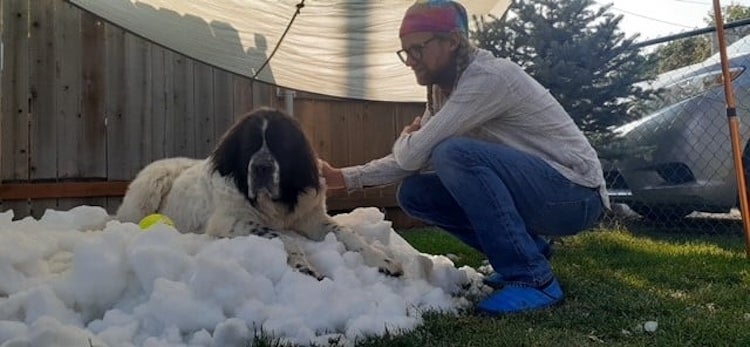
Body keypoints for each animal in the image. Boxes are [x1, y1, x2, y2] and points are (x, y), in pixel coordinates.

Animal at [116, 108, 406, 280]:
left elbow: (347, 233)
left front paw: (382, 259)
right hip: (151, 183)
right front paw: (305, 267)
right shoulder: (233, 220)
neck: (275, 203)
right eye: (249, 146)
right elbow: (285, 238)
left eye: (281, 145)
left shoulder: (311, 216)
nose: (261, 167)